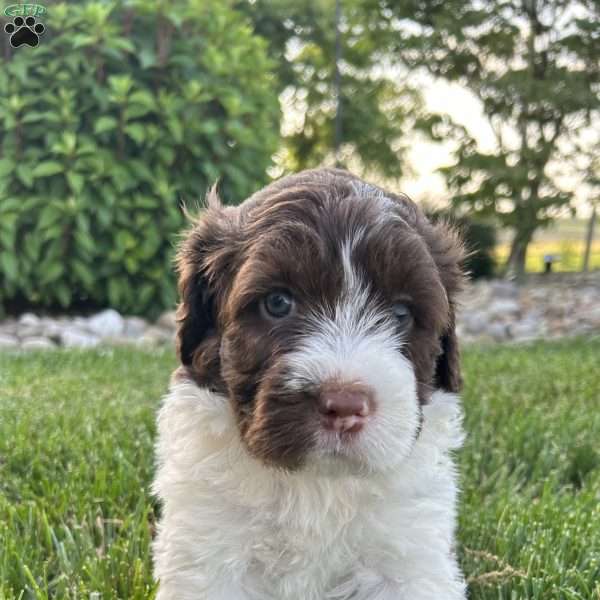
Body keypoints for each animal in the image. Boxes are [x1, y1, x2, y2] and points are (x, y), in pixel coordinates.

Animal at [151, 168, 468, 600]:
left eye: (401, 314)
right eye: (278, 303)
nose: (345, 405)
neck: (317, 483)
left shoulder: (407, 556)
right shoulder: (209, 546)